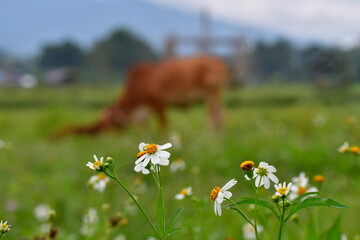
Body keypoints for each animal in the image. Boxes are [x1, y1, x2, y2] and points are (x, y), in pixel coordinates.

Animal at [57, 55, 228, 136]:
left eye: (111, 125)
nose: (108, 138)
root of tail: (217, 62)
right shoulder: (143, 110)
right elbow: (143, 126)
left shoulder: (159, 103)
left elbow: (164, 126)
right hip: (213, 96)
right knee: (221, 115)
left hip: (211, 93)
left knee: (214, 116)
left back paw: (209, 136)